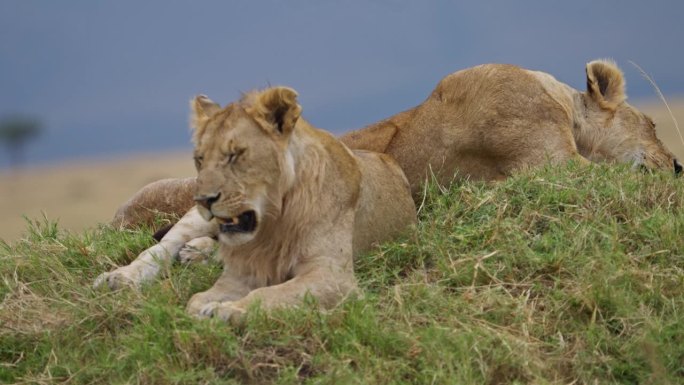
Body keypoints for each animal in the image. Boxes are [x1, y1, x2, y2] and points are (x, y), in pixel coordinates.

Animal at [94, 87, 416, 320]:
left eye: (235, 155)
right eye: (200, 158)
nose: (204, 198)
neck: (273, 220)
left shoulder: (333, 276)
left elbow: (270, 295)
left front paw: (225, 311)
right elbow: (198, 297)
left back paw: (197, 253)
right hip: (191, 219)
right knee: (160, 248)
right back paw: (121, 277)